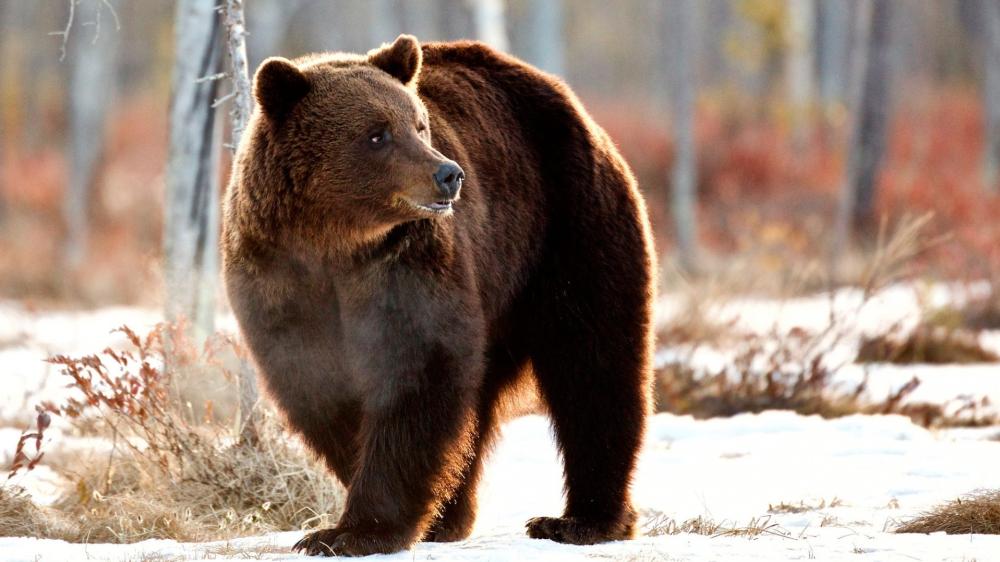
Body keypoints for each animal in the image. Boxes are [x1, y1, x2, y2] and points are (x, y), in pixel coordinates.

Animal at [221, 34, 656, 556]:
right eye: (377, 134)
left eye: (419, 124)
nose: (449, 174)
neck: (335, 246)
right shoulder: (280, 282)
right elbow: (321, 387)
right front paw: (380, 517)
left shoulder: (408, 266)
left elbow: (418, 373)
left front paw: (356, 530)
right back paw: (457, 514)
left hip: (568, 227)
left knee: (594, 363)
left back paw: (581, 520)